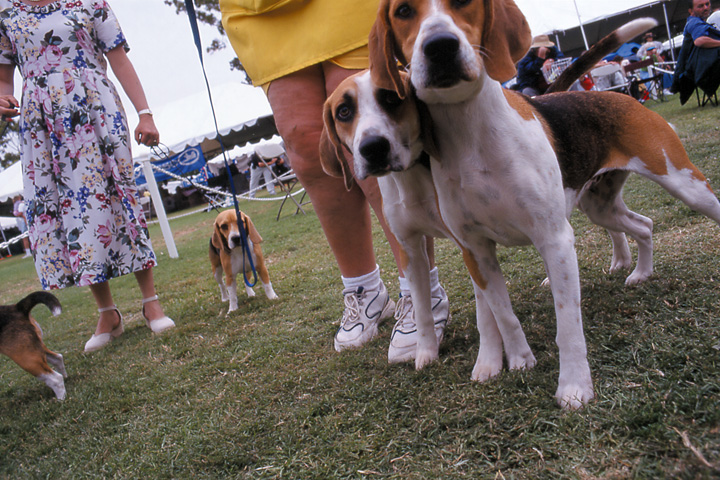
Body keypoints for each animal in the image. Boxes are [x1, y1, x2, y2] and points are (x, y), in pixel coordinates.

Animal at [368, 0, 720, 408]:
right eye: (403, 11)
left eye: (463, 4)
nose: (440, 47)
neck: (469, 131)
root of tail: (618, 93)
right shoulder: (475, 250)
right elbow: (503, 314)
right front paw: (520, 360)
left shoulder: (554, 239)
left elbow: (568, 324)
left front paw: (574, 387)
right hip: (600, 206)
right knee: (644, 225)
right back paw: (641, 273)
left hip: (684, 182)